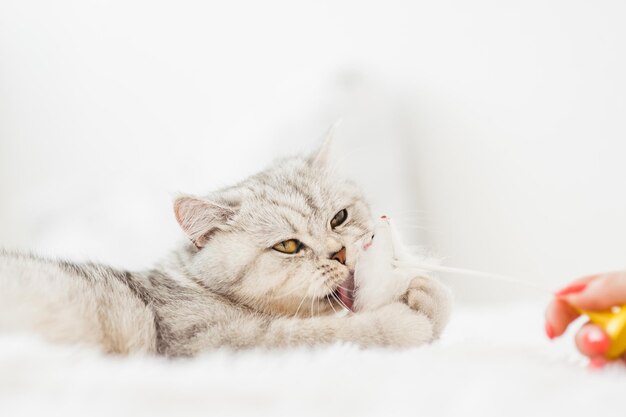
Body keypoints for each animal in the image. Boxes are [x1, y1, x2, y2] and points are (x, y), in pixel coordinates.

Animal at [0, 136, 448, 354]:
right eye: (289, 246)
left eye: (339, 218)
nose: (339, 253)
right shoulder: (212, 343)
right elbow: (330, 334)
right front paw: (410, 317)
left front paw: (424, 292)